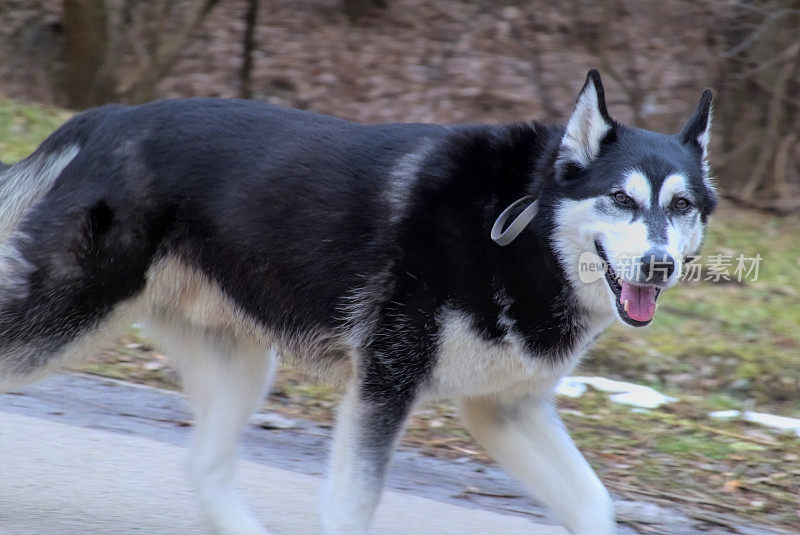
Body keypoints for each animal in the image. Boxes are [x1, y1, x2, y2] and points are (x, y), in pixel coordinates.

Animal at [0, 72, 712, 535]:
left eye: (681, 205)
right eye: (621, 198)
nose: (659, 264)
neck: (522, 228)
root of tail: (112, 116)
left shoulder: (504, 409)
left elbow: (595, 507)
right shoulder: (386, 385)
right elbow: (351, 508)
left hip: (241, 363)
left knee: (204, 464)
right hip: (62, 315)